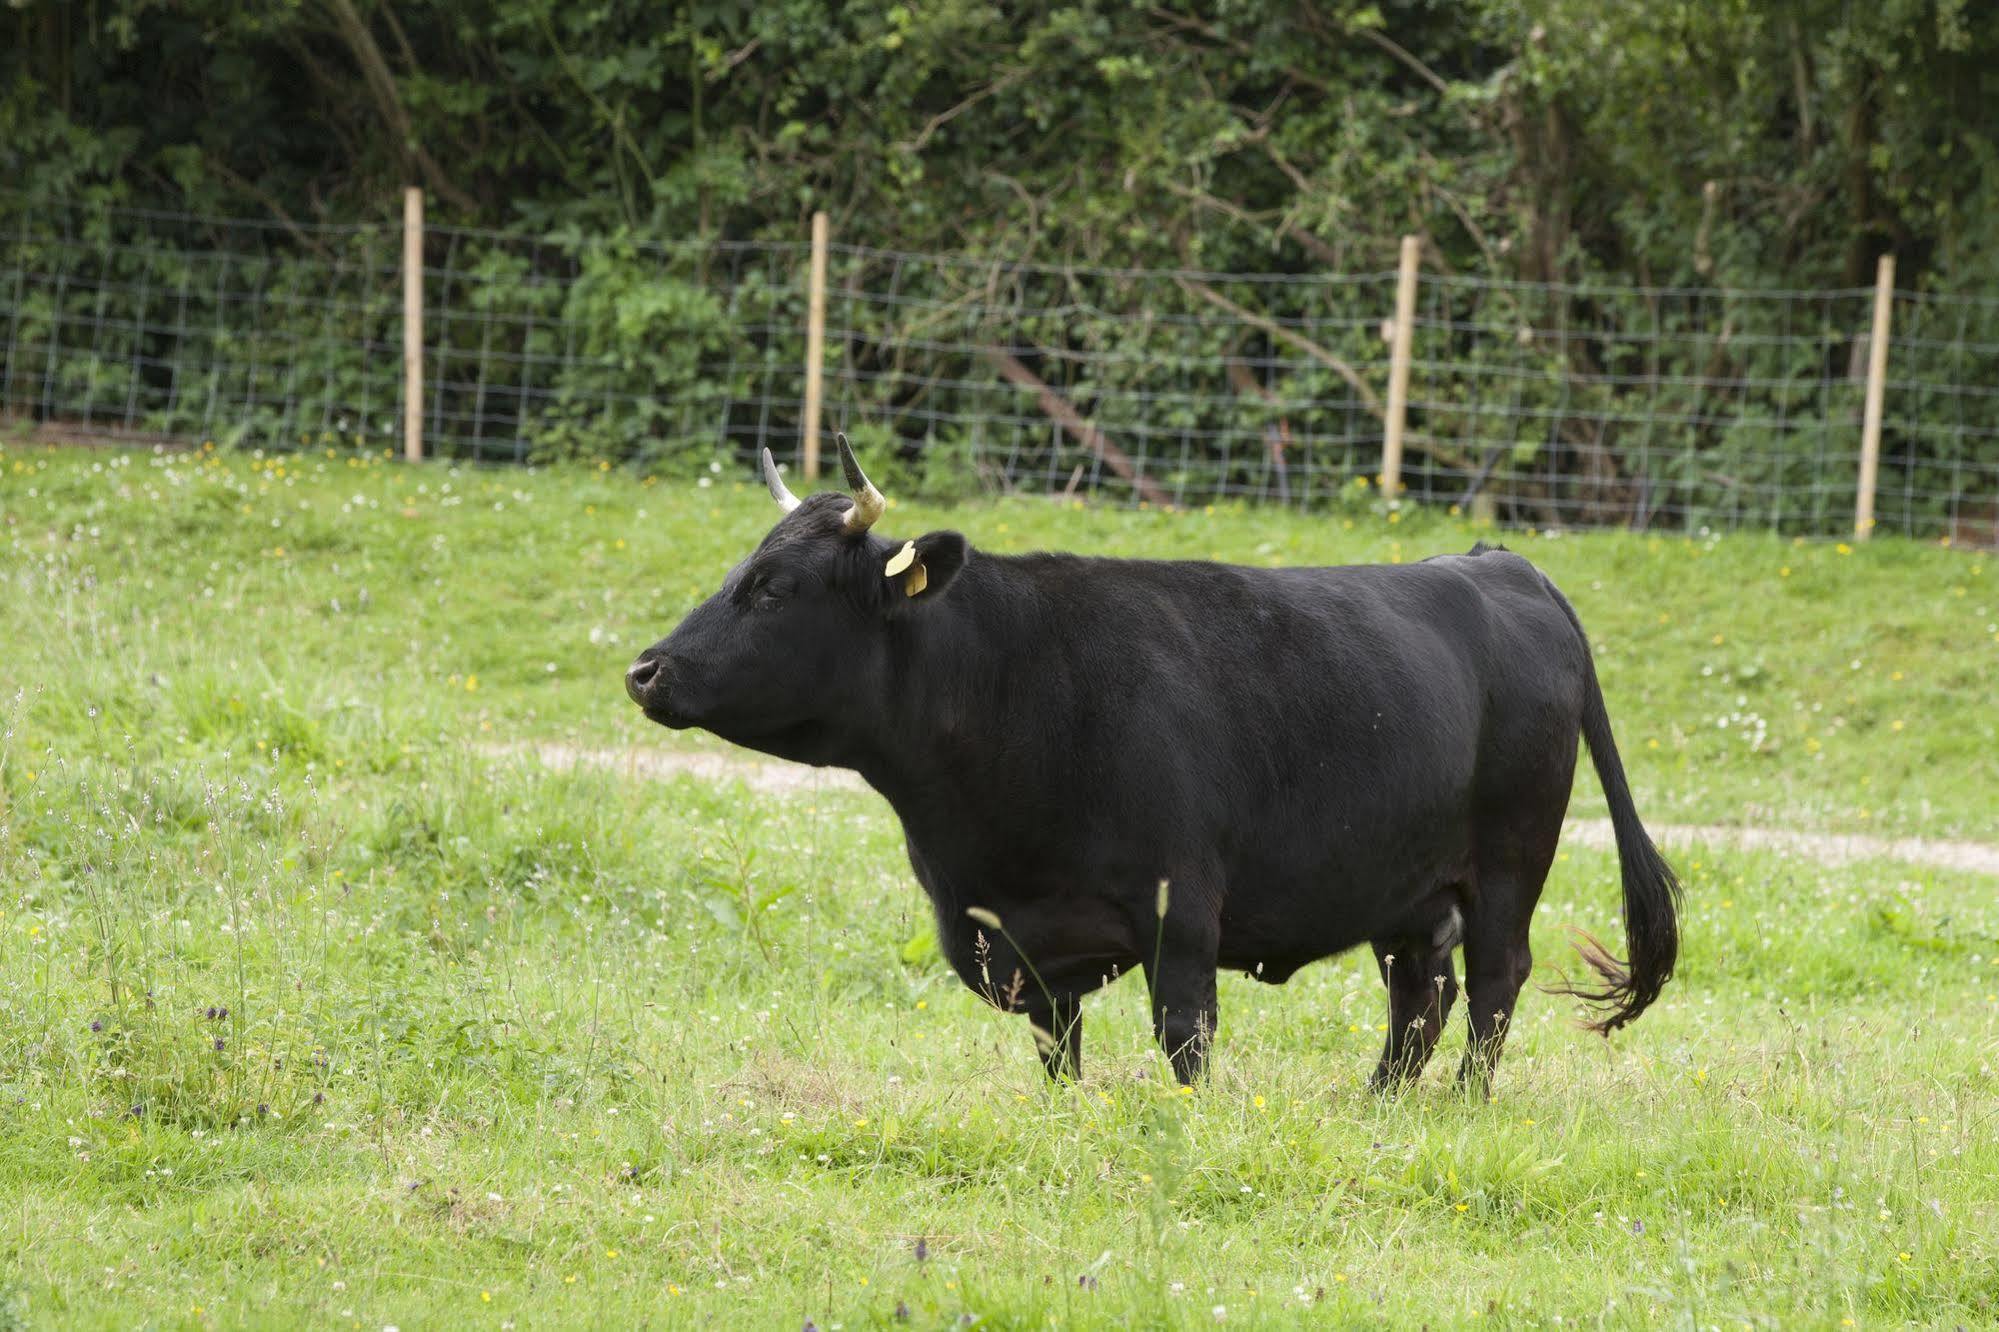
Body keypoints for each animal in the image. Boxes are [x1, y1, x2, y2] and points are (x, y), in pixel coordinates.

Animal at [619, 440, 1671, 1088]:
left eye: (773, 590)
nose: (645, 669)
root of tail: (1499, 561)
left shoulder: (1181, 921)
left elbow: (1183, 1048)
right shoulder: (1026, 950)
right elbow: (1060, 1060)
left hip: (1508, 862)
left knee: (1492, 987)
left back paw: (1458, 1105)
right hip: (1405, 887)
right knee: (1420, 996)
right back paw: (1377, 1108)